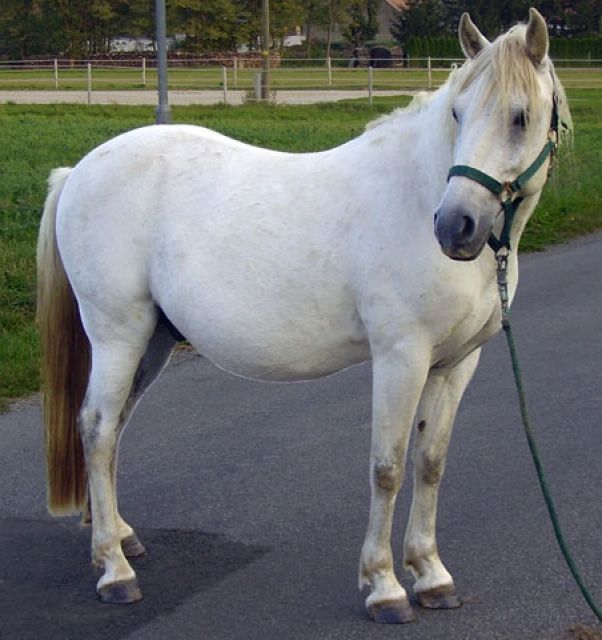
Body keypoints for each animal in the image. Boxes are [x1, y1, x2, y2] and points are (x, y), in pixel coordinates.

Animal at [36, 8, 571, 623]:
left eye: (520, 116)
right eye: (457, 112)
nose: (454, 226)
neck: (415, 196)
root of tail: (78, 171)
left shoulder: (456, 364)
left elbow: (430, 462)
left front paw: (431, 575)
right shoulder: (401, 358)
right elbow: (387, 467)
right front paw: (384, 586)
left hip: (153, 341)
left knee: (115, 428)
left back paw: (121, 537)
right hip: (118, 335)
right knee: (97, 428)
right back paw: (114, 570)